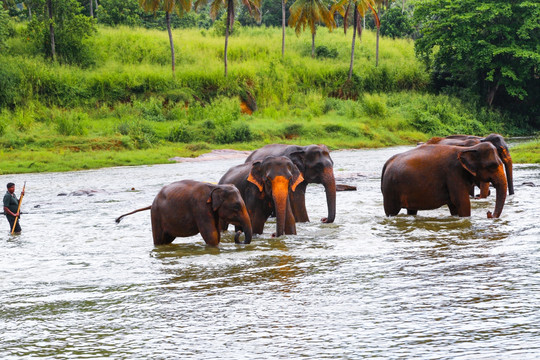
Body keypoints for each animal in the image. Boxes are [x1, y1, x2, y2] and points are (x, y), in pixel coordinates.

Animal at [114, 181, 253, 246]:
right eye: (236, 206)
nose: (238, 232)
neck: (215, 187)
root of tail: (152, 204)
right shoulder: (200, 207)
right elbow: (211, 235)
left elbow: (216, 233)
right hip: (156, 215)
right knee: (159, 240)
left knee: (166, 240)